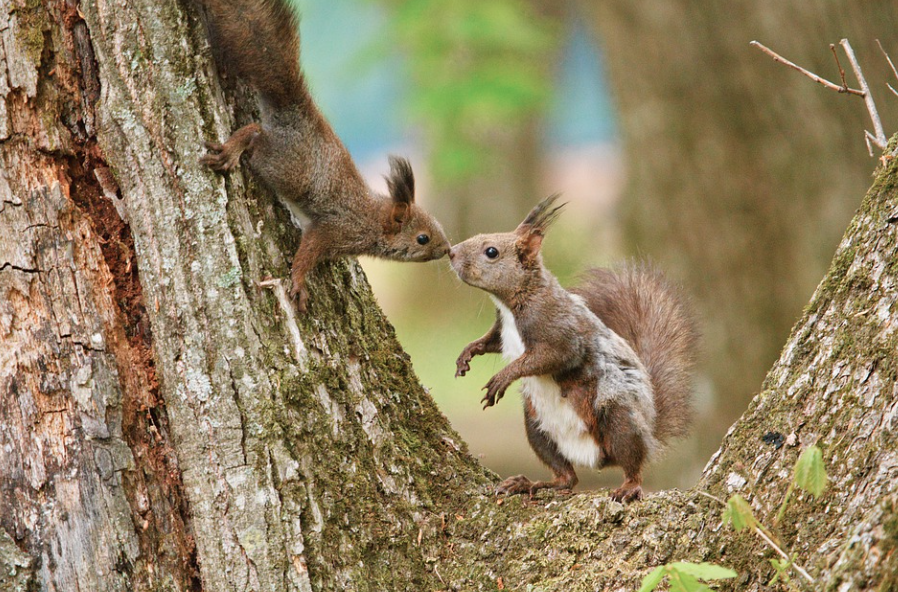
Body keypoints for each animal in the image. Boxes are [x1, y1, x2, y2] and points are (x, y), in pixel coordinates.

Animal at [196, 0, 448, 312]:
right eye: (423, 238)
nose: (447, 249)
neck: (374, 220)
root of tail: (293, 109)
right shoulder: (337, 229)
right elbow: (308, 251)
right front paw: (299, 283)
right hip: (286, 166)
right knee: (255, 133)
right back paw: (232, 149)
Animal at [452, 197, 696, 502]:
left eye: (491, 252)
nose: (450, 252)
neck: (514, 302)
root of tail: (593, 457)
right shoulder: (502, 329)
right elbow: (490, 341)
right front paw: (467, 353)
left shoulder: (560, 332)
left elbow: (548, 357)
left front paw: (502, 378)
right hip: (537, 429)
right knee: (567, 478)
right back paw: (530, 483)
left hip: (618, 418)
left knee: (632, 461)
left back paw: (629, 486)